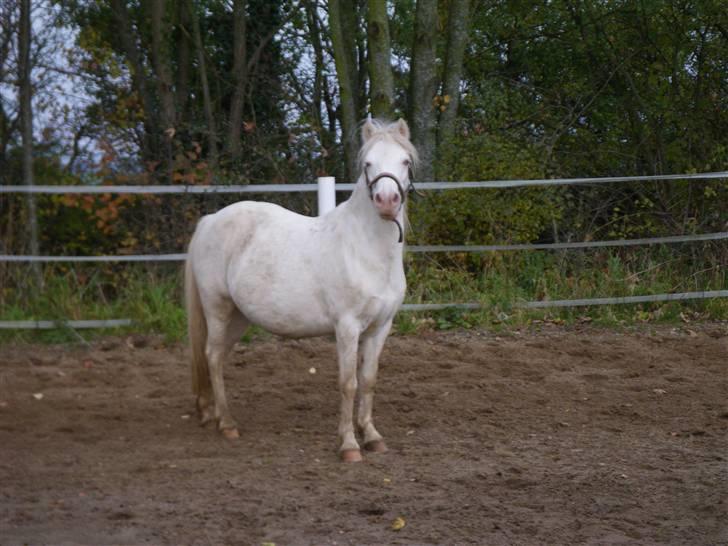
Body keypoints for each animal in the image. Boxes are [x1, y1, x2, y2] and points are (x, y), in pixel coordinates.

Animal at [185, 118, 418, 460]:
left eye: (404, 162)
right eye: (368, 163)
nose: (387, 201)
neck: (365, 249)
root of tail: (209, 221)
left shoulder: (380, 328)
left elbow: (368, 381)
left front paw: (372, 436)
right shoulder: (347, 327)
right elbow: (348, 383)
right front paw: (349, 445)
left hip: (239, 316)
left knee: (217, 356)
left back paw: (211, 413)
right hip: (218, 308)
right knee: (213, 356)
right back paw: (227, 424)